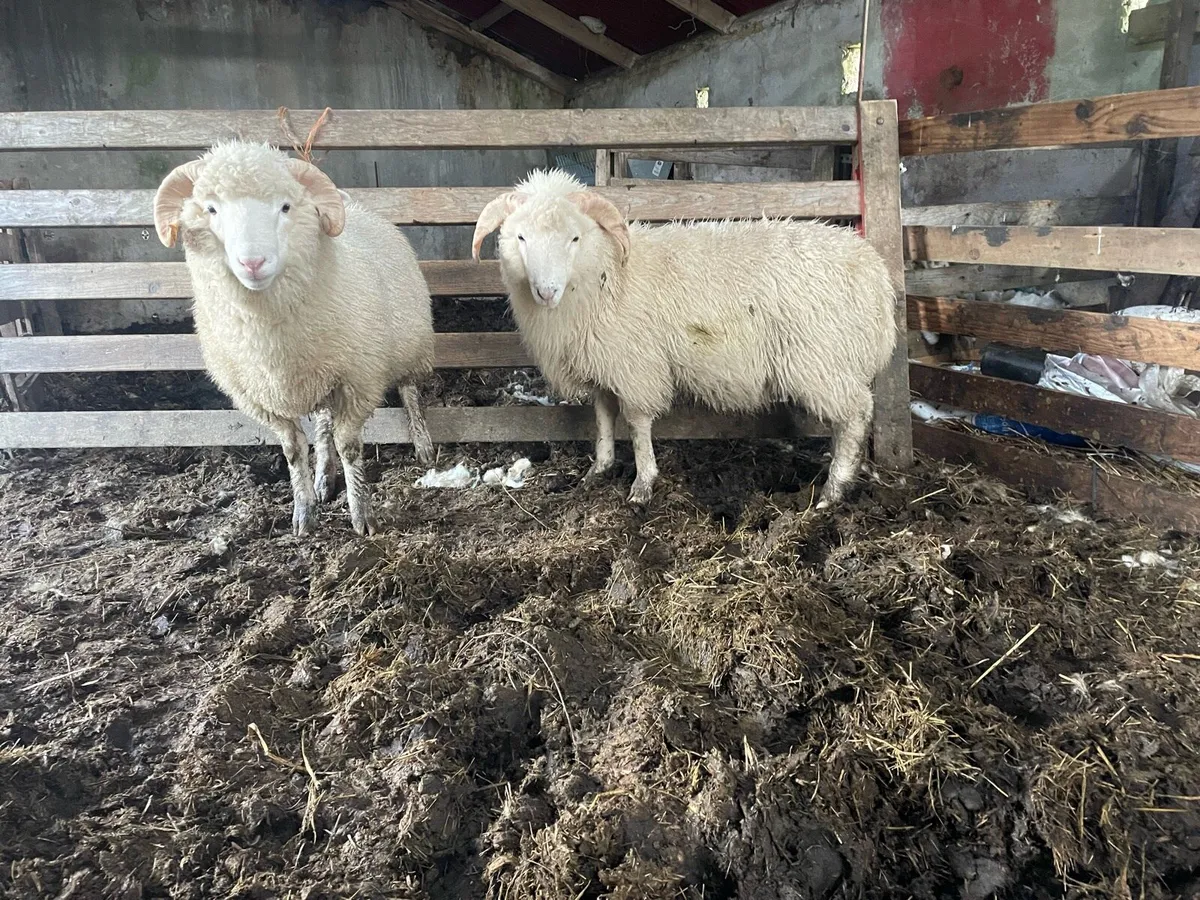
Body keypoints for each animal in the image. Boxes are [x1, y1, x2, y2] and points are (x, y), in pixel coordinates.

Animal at [153, 139, 435, 536]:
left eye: (285, 206)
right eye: (210, 209)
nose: (253, 262)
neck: (269, 336)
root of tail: (356, 207)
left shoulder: (358, 381)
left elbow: (349, 446)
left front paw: (361, 515)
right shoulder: (260, 397)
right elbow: (293, 450)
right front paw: (304, 512)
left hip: (412, 344)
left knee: (409, 392)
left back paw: (423, 445)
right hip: (323, 378)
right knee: (323, 425)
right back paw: (323, 478)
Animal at [472, 169, 897, 508]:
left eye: (575, 238)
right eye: (520, 237)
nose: (546, 292)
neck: (608, 275)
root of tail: (877, 277)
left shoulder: (635, 366)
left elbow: (637, 424)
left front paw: (642, 485)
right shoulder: (602, 364)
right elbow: (603, 417)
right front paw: (600, 468)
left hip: (821, 360)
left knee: (856, 415)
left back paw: (833, 490)